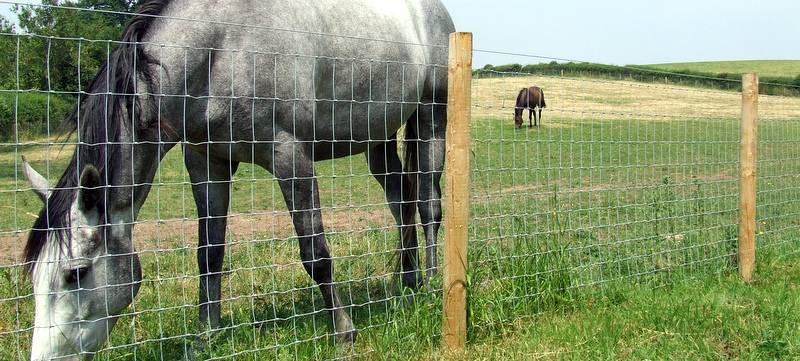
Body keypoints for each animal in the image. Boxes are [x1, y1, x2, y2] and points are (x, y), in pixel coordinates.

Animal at [21, 0, 454, 358]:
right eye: (35, 276)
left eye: (75, 273)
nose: (45, 358)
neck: (221, 48)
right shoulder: (206, 162)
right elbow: (209, 253)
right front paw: (205, 335)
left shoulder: (289, 157)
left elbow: (315, 253)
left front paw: (343, 332)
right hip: (376, 137)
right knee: (400, 202)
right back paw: (407, 282)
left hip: (431, 116)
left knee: (428, 205)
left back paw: (432, 284)